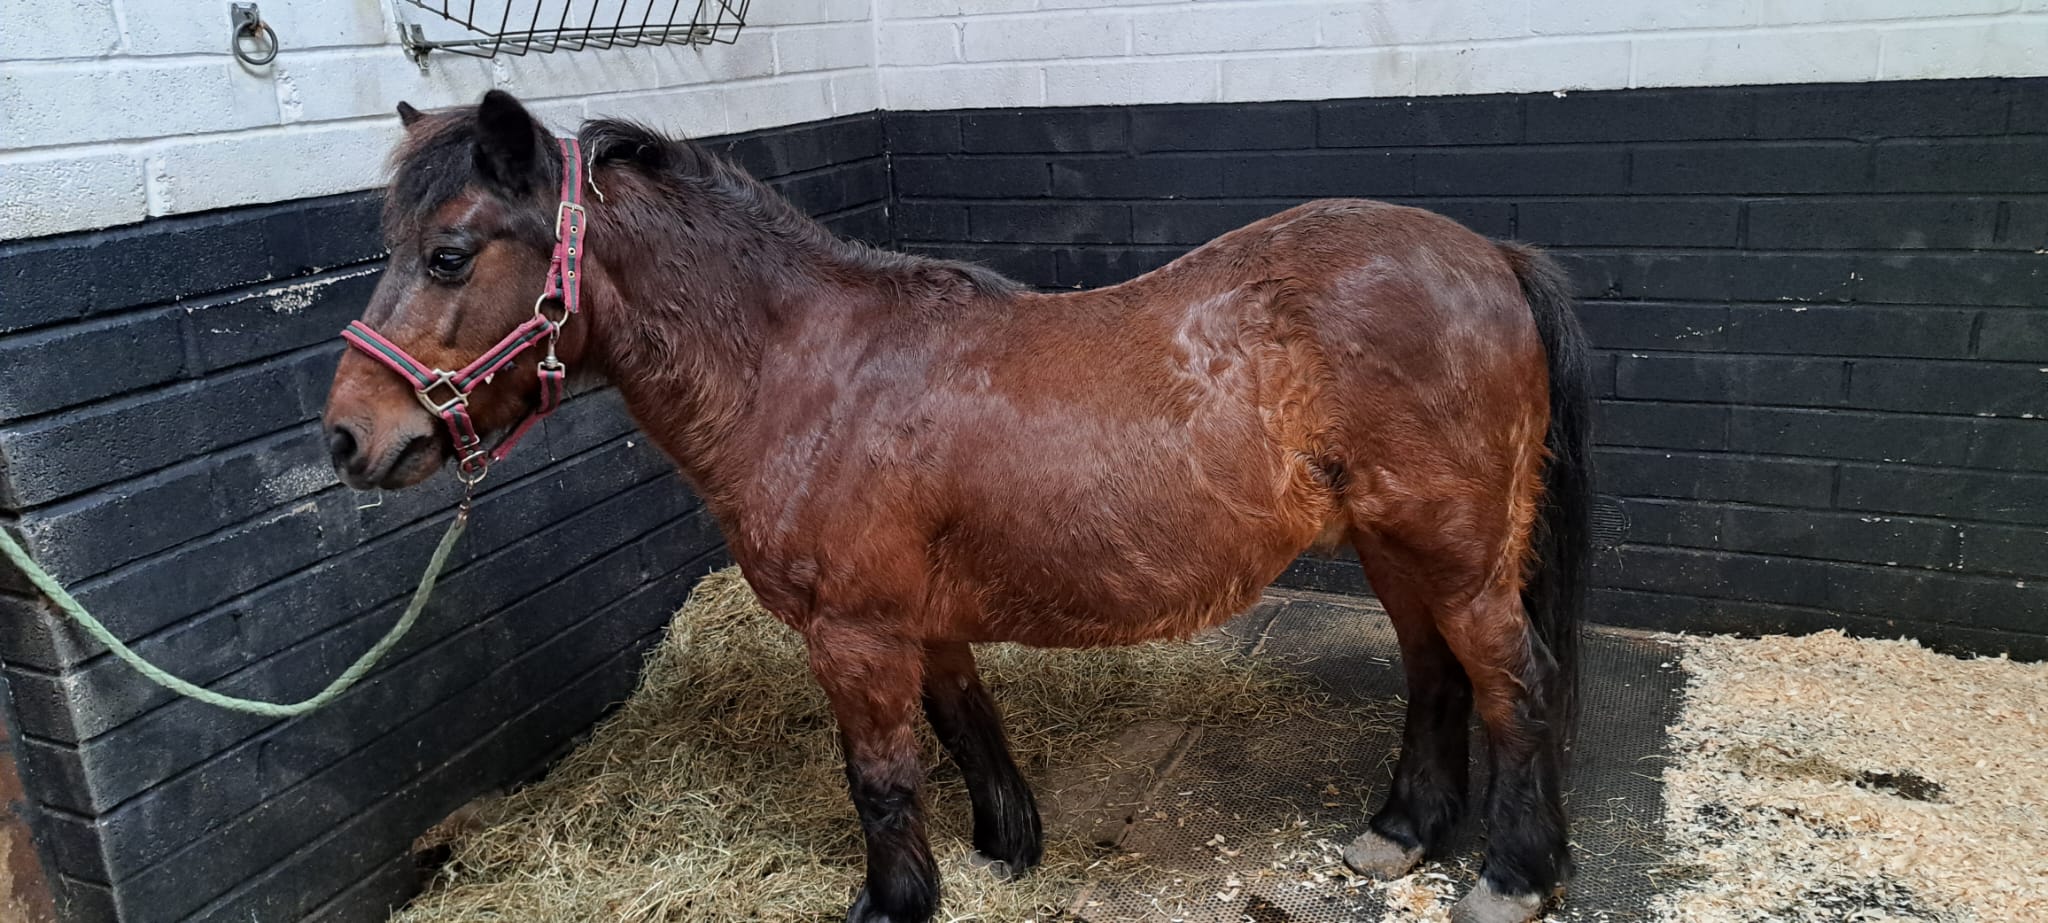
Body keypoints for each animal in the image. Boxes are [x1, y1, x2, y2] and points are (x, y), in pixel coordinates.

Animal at [323, 90, 1592, 923]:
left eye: (447, 254)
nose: (347, 438)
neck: (806, 369)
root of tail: (1487, 254)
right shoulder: (914, 622)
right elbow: (965, 722)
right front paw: (1003, 848)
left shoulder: (851, 634)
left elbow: (882, 777)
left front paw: (892, 903)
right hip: (1394, 544)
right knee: (1434, 672)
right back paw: (1398, 832)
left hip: (1453, 549)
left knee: (1512, 679)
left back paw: (1510, 874)